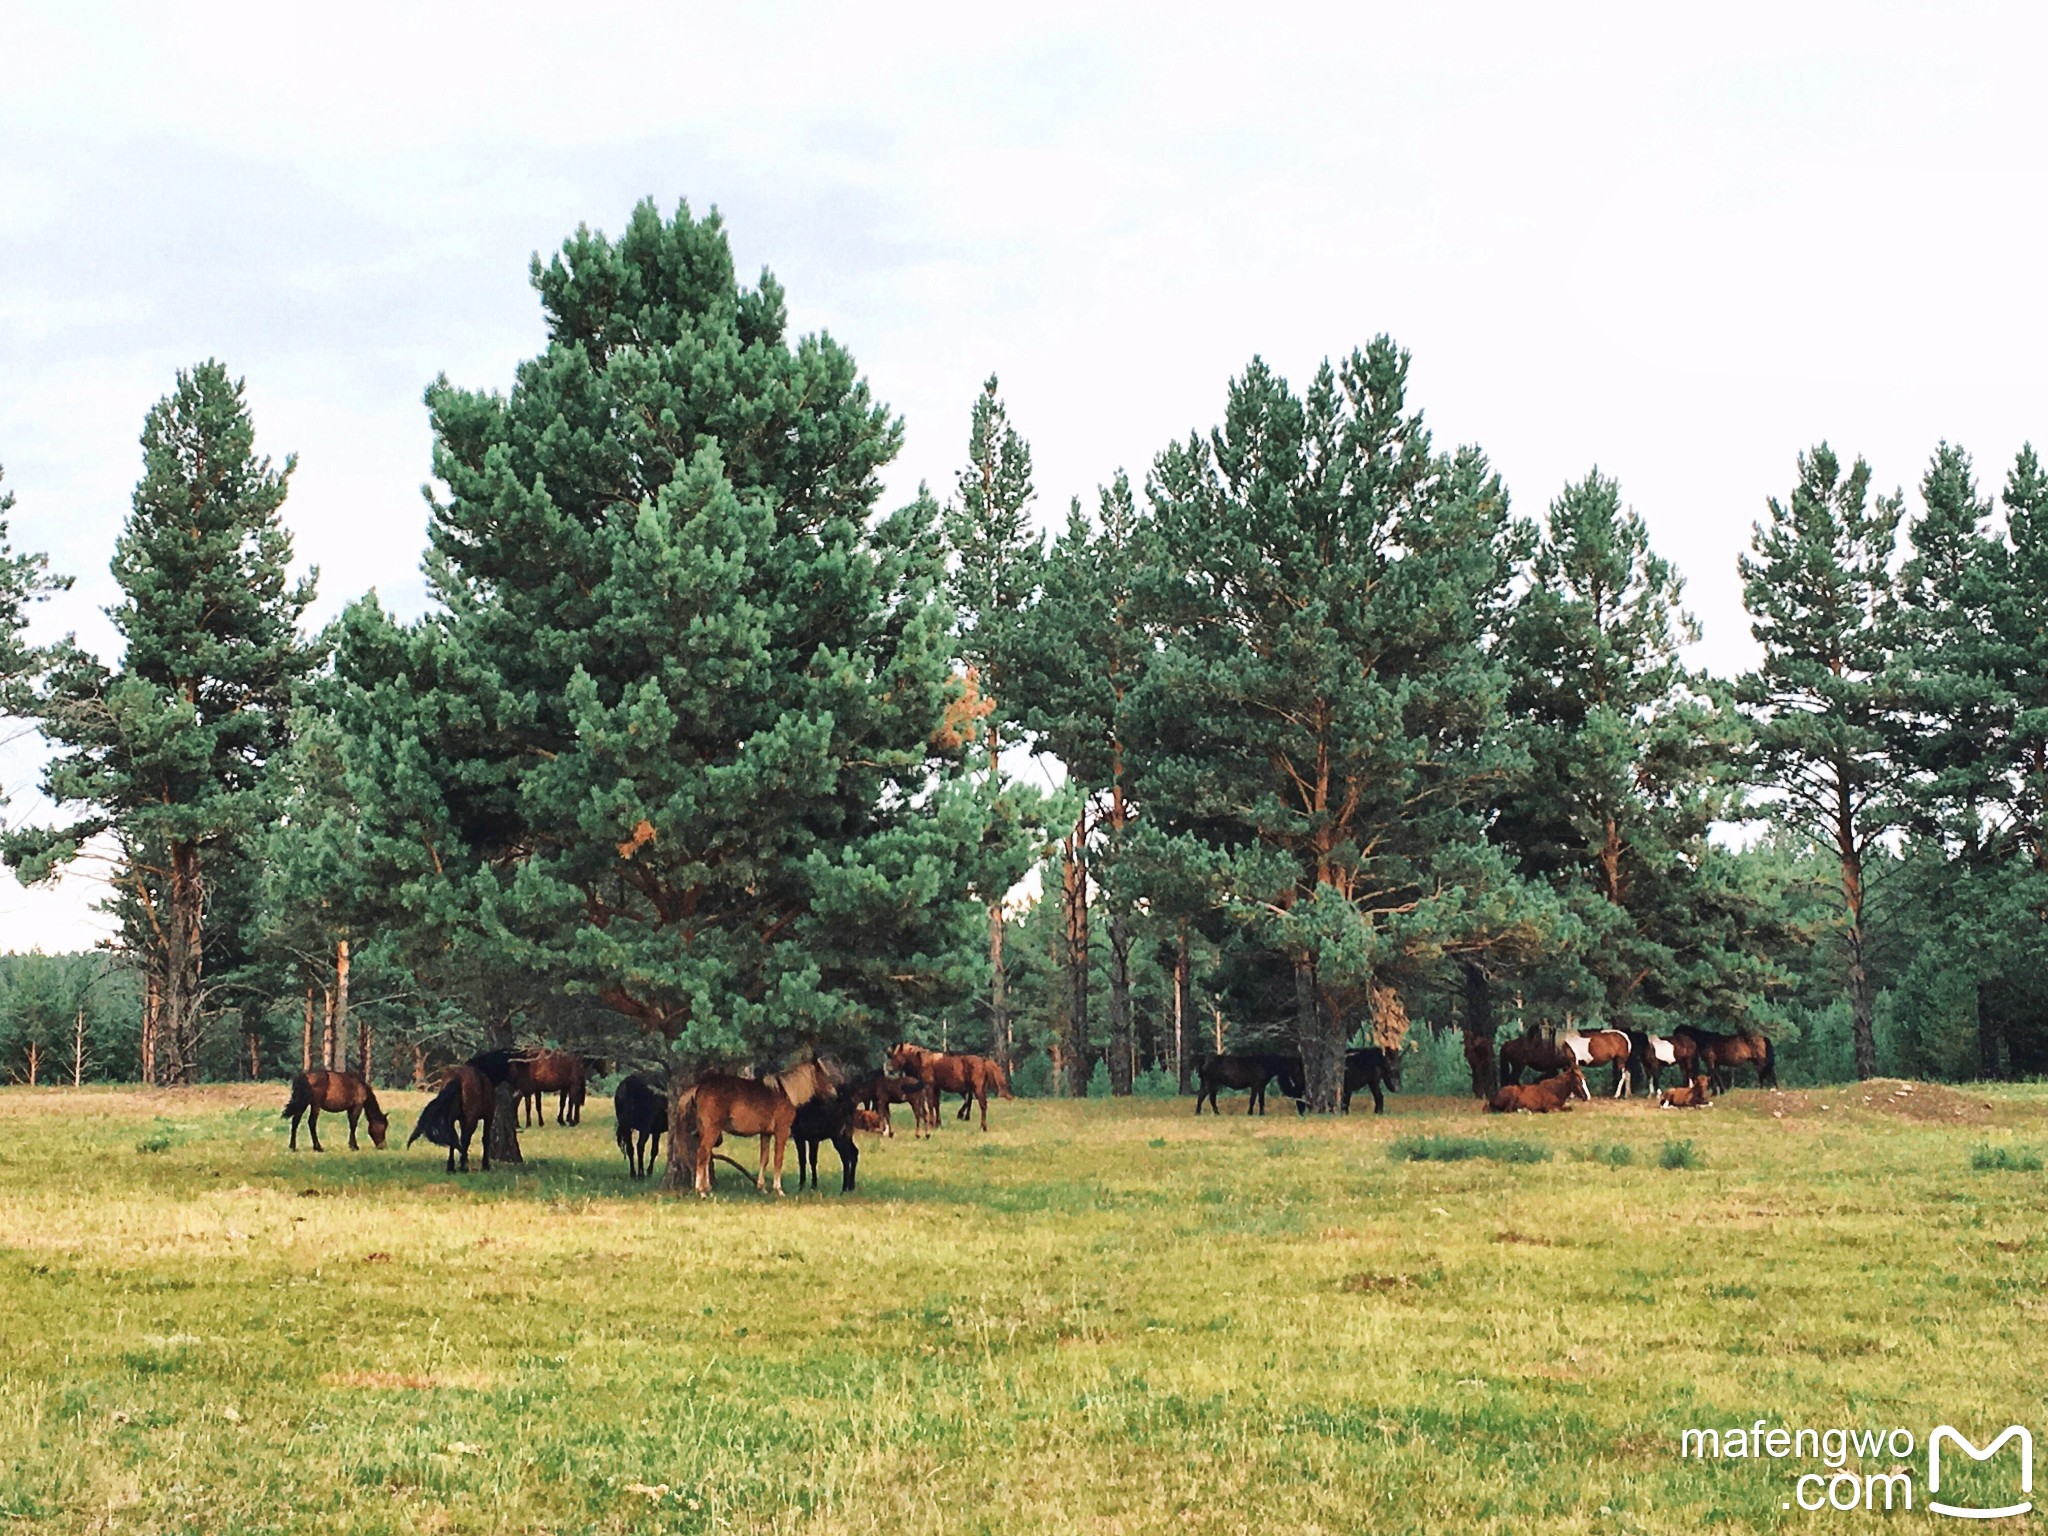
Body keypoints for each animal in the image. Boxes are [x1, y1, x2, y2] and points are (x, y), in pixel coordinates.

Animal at [671, 1056, 831, 1204]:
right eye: (823, 1074)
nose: (833, 1093)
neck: (785, 1093)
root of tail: (699, 1086)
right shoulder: (782, 1132)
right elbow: (778, 1159)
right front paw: (778, 1189)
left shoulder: (765, 1134)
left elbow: (764, 1158)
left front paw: (762, 1188)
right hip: (712, 1130)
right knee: (702, 1153)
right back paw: (701, 1191)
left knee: (706, 1154)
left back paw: (708, 1188)